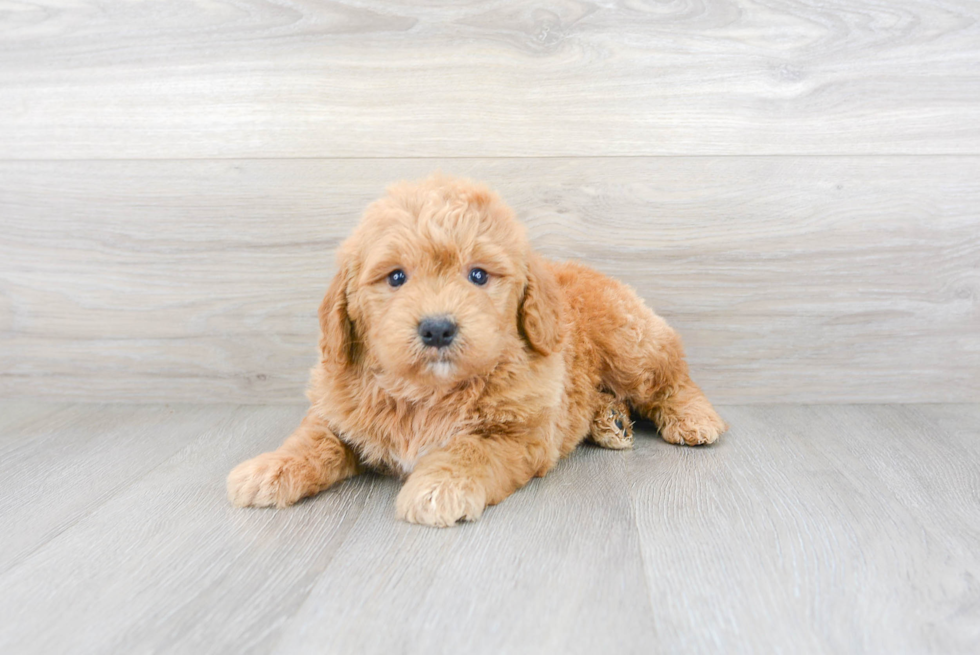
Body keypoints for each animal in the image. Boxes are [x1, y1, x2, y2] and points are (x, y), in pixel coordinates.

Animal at [226, 174, 724, 528]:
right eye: (396, 277)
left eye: (479, 275)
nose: (437, 328)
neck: (427, 392)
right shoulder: (338, 409)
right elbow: (313, 438)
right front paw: (270, 468)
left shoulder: (520, 434)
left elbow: (470, 449)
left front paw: (437, 488)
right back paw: (610, 420)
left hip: (631, 344)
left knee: (672, 377)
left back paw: (694, 419)